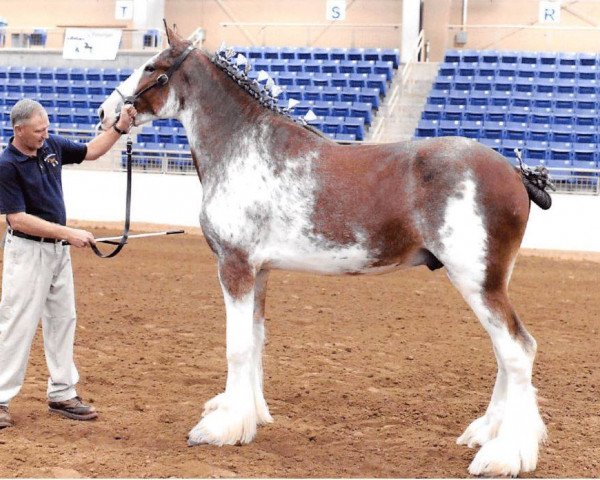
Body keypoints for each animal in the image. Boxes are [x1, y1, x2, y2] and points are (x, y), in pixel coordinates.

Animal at [99, 27, 552, 476]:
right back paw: (486, 432)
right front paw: (251, 415)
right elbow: (256, 340)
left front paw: (221, 428)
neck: (244, 147)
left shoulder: (235, 266)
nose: (106, 113)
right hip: (490, 283)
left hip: (476, 281)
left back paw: (504, 454)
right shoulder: (259, 271)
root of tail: (515, 173)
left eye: (151, 67)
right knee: (504, 352)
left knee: (518, 349)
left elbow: (237, 346)